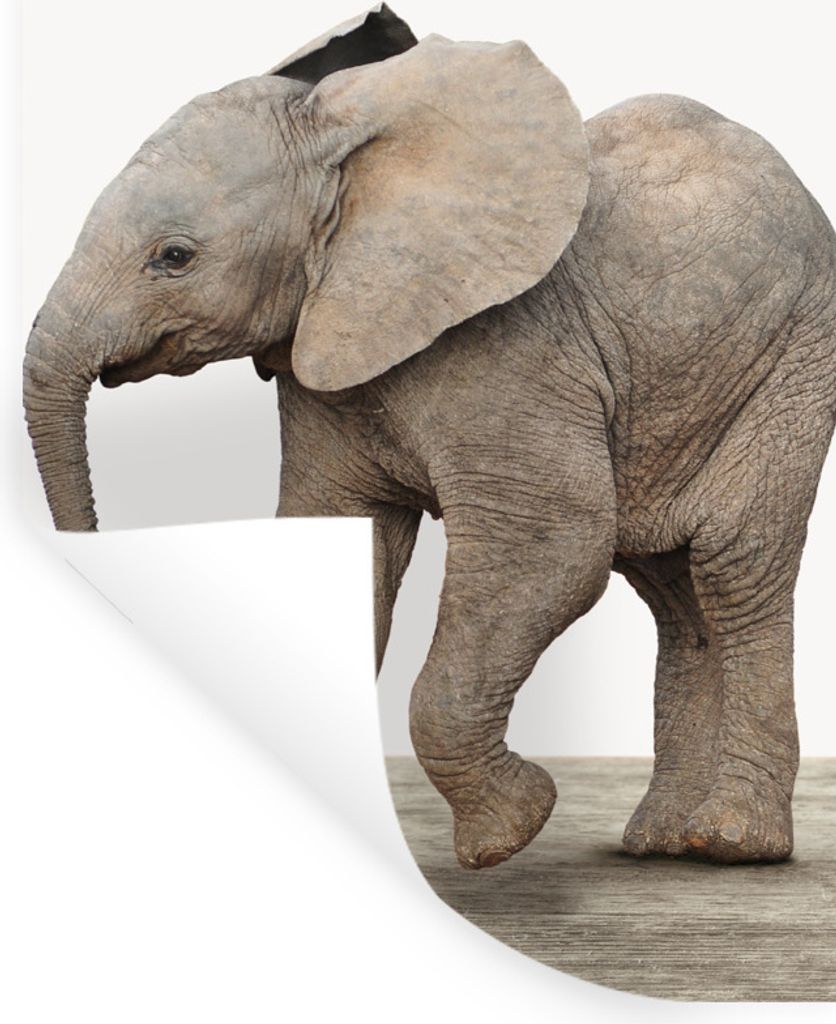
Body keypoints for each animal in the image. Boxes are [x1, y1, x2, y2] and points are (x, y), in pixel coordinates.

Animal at [24, 4, 835, 870]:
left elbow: (553, 542)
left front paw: (510, 831)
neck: (348, 144)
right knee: (672, 588)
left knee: (731, 564)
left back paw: (733, 843)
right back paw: (659, 843)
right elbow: (344, 538)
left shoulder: (513, 347)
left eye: (173, 258)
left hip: (793, 356)